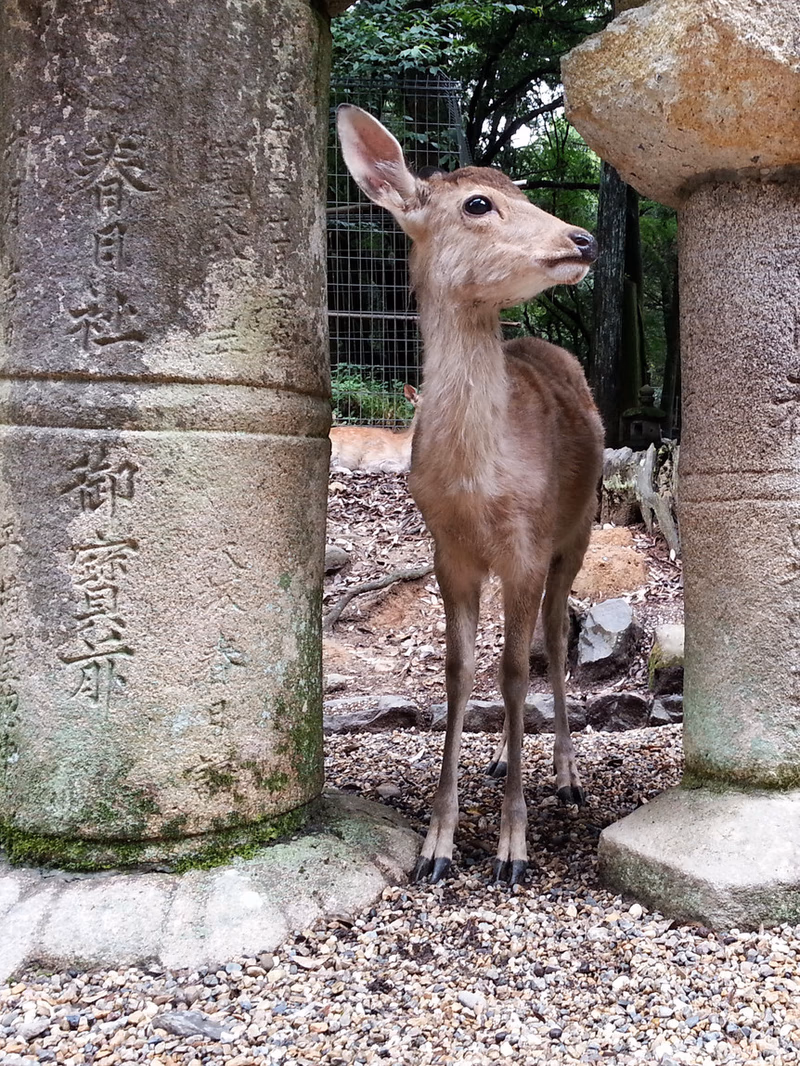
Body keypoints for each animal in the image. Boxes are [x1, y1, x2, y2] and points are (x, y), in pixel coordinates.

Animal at [337, 104, 604, 886]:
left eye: (522, 188)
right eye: (479, 203)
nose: (584, 237)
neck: (476, 486)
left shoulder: (526, 543)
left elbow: (513, 673)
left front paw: (513, 850)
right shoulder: (447, 550)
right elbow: (457, 676)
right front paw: (437, 845)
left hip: (576, 533)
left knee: (553, 637)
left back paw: (565, 776)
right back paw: (499, 765)